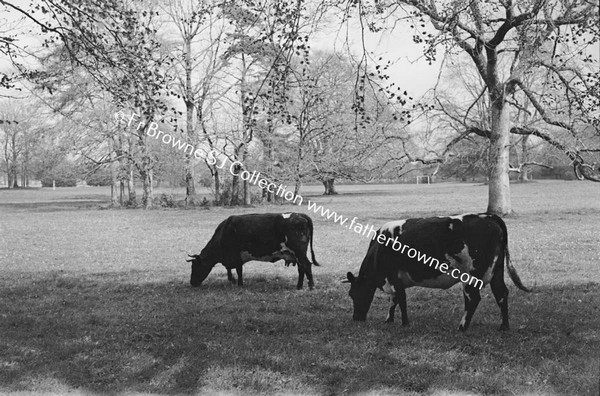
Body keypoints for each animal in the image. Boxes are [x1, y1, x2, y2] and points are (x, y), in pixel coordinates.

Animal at [188, 212, 318, 290]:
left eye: (195, 266)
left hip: (299, 252)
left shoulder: (236, 256)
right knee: (301, 268)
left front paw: (239, 283)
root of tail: (299, 214)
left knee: (307, 265)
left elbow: (238, 271)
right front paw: (232, 280)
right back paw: (299, 286)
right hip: (296, 254)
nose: (192, 282)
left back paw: (311, 286)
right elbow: (229, 269)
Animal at [344, 213, 532, 332]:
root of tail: (487, 216)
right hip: (496, 272)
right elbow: (394, 301)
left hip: (471, 275)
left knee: (473, 299)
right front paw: (389, 320)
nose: (356, 318)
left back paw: (462, 327)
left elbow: (401, 300)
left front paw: (404, 323)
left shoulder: (394, 277)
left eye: (354, 294)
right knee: (501, 294)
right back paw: (504, 326)